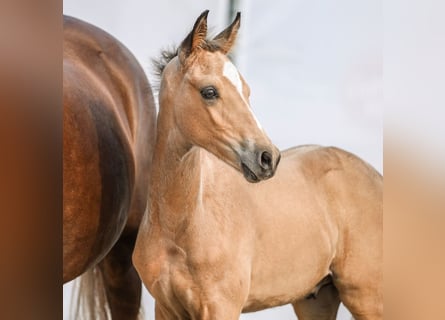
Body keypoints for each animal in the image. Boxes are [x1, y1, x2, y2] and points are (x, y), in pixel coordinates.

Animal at [134, 10, 384, 320]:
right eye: (209, 91)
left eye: (246, 91)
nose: (267, 157)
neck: (179, 227)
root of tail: (376, 177)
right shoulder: (166, 308)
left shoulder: (221, 307)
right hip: (315, 299)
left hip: (366, 298)